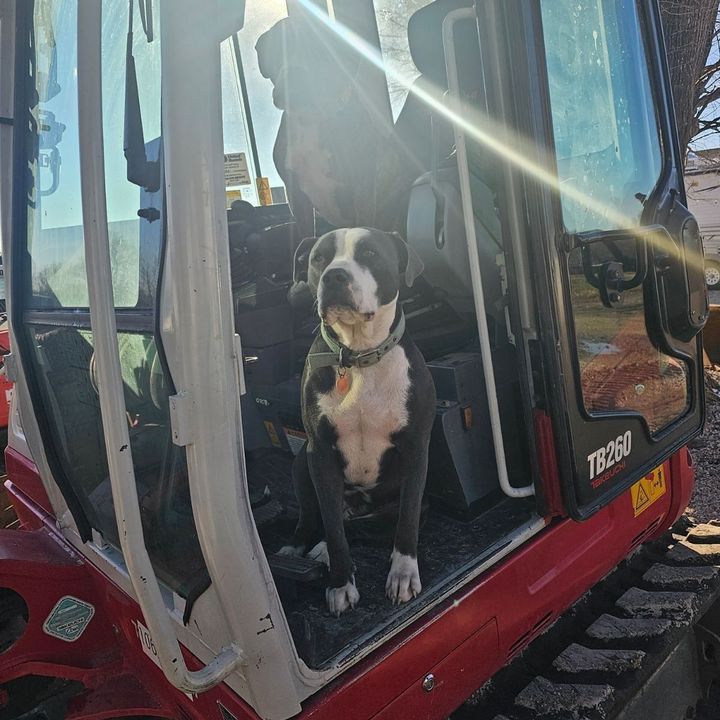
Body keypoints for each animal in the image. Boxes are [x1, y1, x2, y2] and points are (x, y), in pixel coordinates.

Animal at [282, 228, 436, 616]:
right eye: (318, 258)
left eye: (369, 254)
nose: (334, 276)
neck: (360, 355)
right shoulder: (320, 454)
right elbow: (333, 531)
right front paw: (340, 583)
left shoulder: (416, 449)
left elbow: (406, 520)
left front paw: (403, 574)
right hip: (301, 462)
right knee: (318, 518)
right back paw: (298, 548)